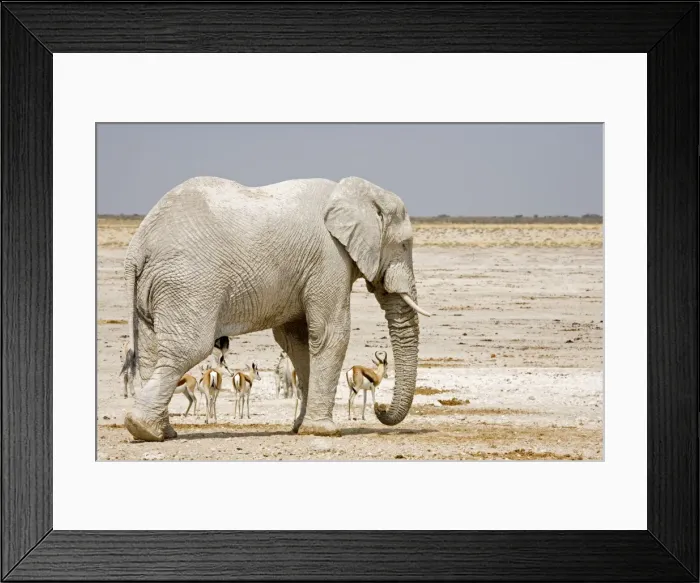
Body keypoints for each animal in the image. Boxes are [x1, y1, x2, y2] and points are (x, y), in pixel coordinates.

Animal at [121, 175, 430, 442]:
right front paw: (323, 431)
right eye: (404, 245)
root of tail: (138, 246)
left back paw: (162, 432)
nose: (380, 410)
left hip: (156, 288)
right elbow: (330, 333)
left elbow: (298, 341)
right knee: (187, 349)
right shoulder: (329, 258)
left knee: (151, 355)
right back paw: (143, 429)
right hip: (188, 284)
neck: (354, 193)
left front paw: (299, 427)